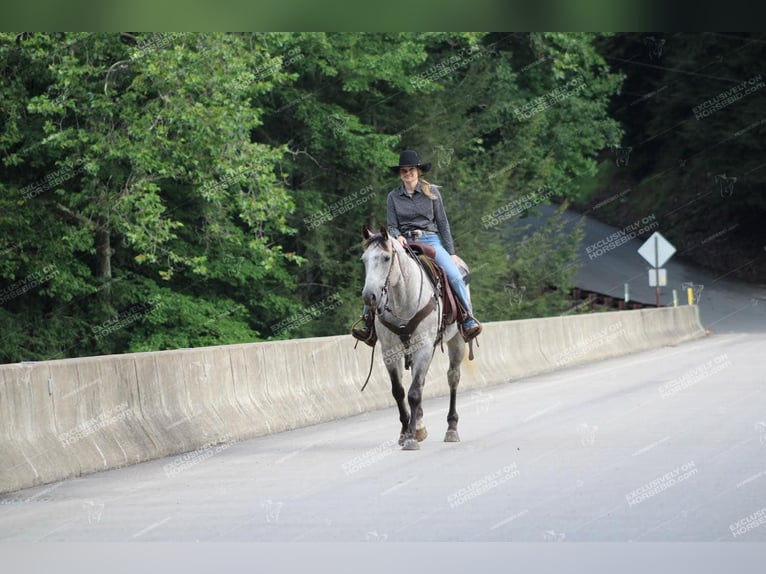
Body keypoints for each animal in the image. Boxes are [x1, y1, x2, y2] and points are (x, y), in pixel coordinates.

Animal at [362, 227, 468, 452]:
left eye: (386, 258)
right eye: (364, 259)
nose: (369, 296)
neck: (403, 300)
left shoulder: (424, 347)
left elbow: (414, 393)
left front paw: (411, 438)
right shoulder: (390, 351)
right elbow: (399, 391)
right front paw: (405, 432)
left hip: (457, 341)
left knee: (452, 377)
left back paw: (451, 429)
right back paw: (420, 425)